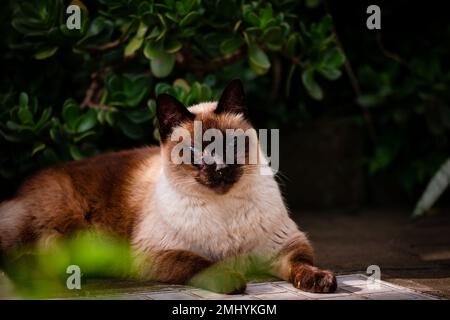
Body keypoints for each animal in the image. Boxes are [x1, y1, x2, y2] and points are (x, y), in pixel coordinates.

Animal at [0, 80, 336, 296]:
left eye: (230, 145)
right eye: (196, 151)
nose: (220, 168)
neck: (223, 208)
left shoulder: (284, 247)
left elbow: (302, 264)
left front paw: (321, 282)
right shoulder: (156, 253)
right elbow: (202, 262)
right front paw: (233, 281)